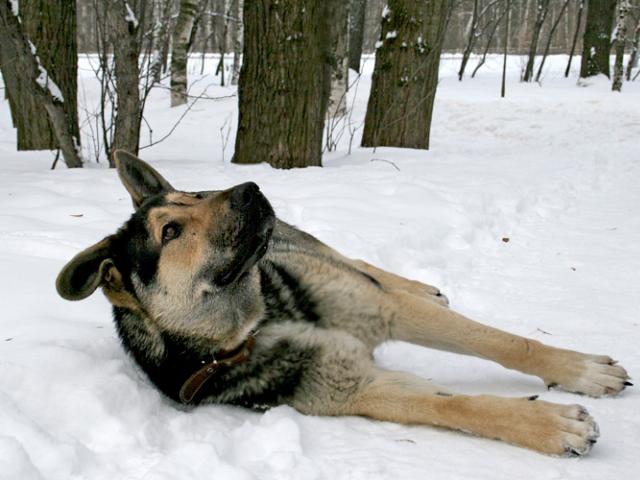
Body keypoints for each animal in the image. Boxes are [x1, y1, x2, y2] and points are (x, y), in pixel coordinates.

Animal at [56, 152, 632, 456]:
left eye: (196, 195)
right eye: (170, 232)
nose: (248, 189)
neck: (257, 322)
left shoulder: (380, 309)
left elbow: (508, 344)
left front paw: (580, 370)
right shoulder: (358, 387)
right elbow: (458, 406)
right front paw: (551, 426)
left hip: (313, 254)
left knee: (360, 265)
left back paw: (420, 286)